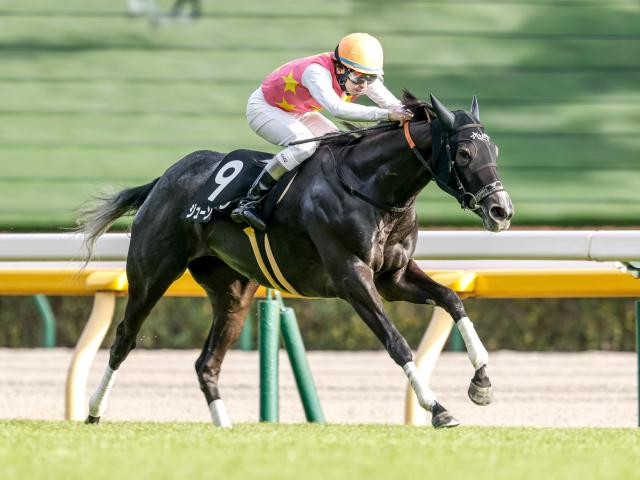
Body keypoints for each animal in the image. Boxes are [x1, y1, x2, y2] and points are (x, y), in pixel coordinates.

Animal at [77, 92, 514, 428]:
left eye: (494, 149)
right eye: (464, 152)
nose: (501, 210)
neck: (372, 189)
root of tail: (161, 181)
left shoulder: (394, 277)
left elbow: (451, 299)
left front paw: (482, 381)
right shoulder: (352, 278)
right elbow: (397, 342)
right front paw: (438, 408)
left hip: (233, 293)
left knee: (206, 364)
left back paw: (223, 425)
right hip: (152, 275)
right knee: (124, 340)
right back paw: (94, 411)